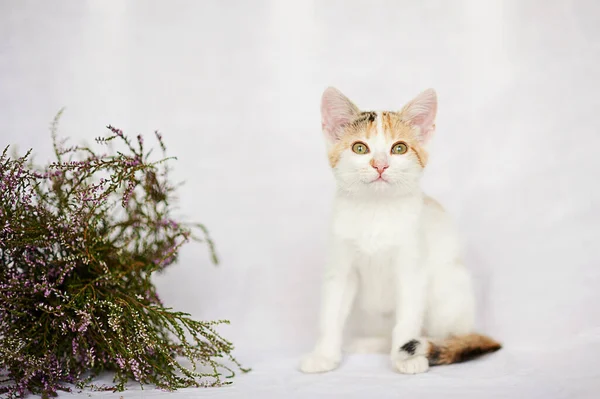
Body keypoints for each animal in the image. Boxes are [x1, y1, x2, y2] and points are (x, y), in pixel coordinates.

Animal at [300, 86, 502, 376]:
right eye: (360, 148)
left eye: (399, 148)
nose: (380, 165)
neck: (375, 209)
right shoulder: (340, 268)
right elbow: (331, 314)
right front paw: (324, 355)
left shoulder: (412, 269)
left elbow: (407, 318)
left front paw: (404, 358)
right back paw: (372, 343)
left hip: (449, 289)